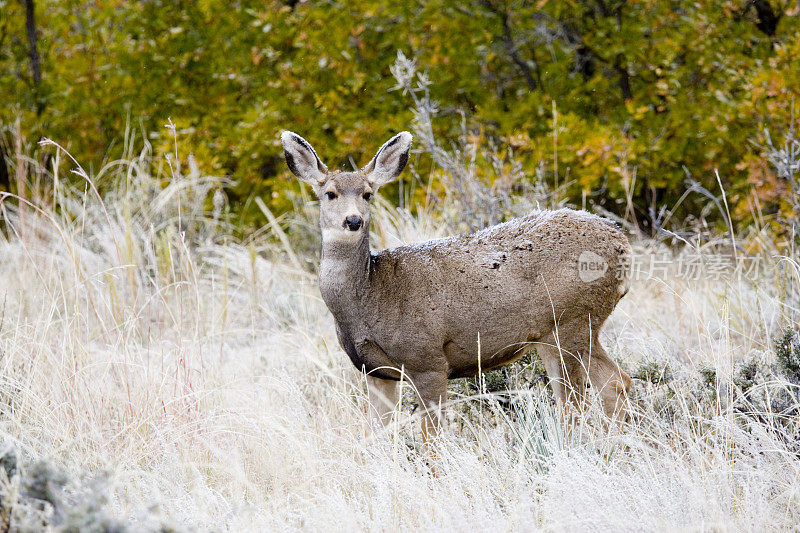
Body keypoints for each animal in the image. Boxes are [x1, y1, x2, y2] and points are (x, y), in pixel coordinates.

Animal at [282, 130, 632, 440]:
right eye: (329, 194)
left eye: (368, 194)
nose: (353, 220)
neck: (369, 298)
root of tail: (622, 245)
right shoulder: (375, 372)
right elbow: (377, 437)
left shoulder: (427, 359)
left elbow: (432, 440)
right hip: (572, 329)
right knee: (615, 381)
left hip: (569, 322)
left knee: (575, 402)